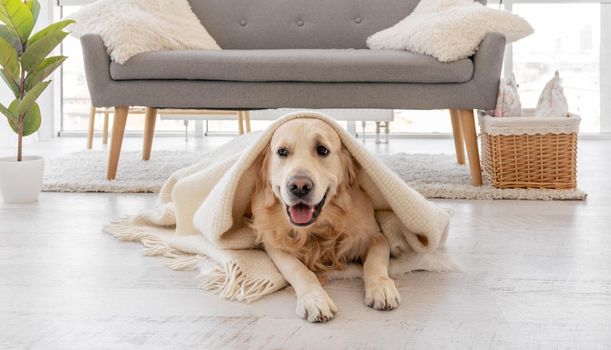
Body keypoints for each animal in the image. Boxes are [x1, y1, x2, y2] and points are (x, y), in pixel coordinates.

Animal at [250, 119, 402, 324]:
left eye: (322, 150)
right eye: (282, 152)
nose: (299, 186)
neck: (321, 226)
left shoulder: (374, 235)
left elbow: (375, 259)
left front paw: (381, 288)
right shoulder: (275, 244)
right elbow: (299, 269)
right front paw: (314, 300)